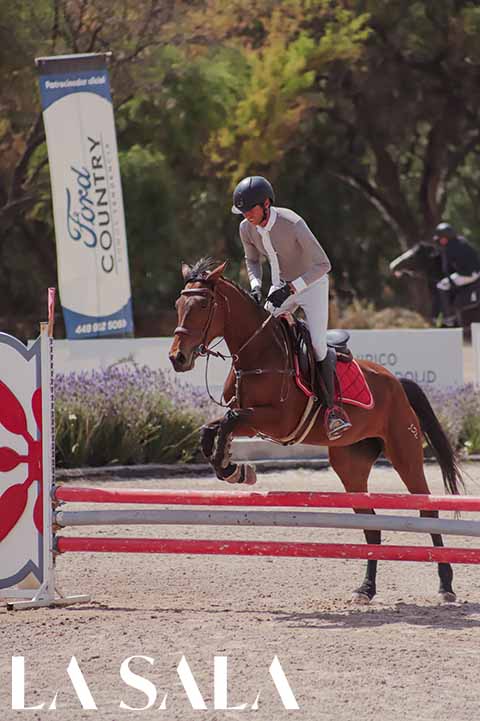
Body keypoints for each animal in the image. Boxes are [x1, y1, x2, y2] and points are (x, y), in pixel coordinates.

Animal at [169, 258, 463, 604]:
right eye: (178, 306)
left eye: (203, 305)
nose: (177, 358)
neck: (258, 353)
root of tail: (397, 383)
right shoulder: (252, 421)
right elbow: (211, 428)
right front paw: (232, 467)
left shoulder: (275, 420)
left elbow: (229, 420)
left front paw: (234, 468)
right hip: (350, 465)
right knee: (371, 523)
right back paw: (366, 589)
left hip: (405, 453)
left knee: (427, 510)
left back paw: (445, 585)